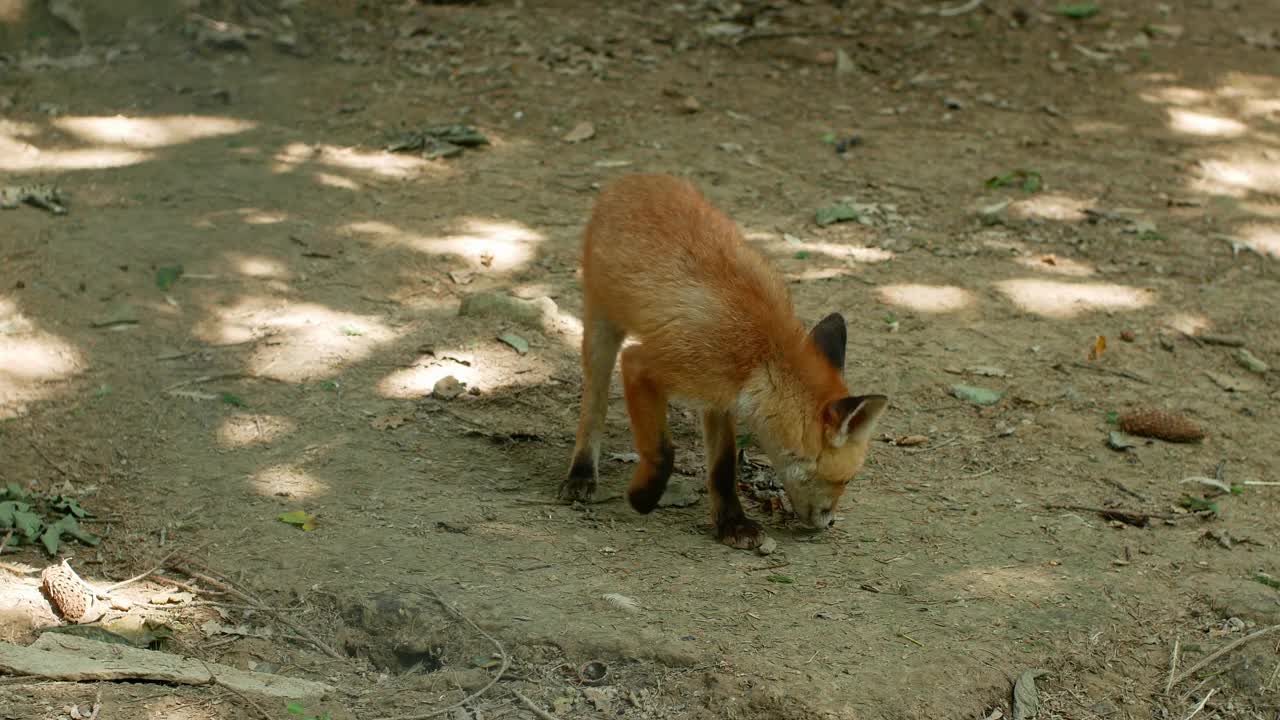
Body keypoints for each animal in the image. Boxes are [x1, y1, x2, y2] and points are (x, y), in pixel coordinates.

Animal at [560, 174, 890, 548]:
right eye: (845, 481)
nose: (829, 522)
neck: (761, 356)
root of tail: (635, 178)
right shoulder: (643, 364)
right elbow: (663, 451)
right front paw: (643, 498)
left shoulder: (718, 396)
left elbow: (723, 465)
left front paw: (732, 522)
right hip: (601, 328)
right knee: (593, 406)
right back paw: (582, 472)